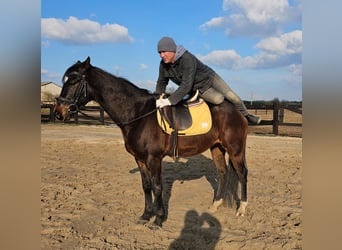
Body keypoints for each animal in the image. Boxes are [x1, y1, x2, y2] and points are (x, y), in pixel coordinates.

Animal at [54, 56, 250, 227]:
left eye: (73, 82)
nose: (58, 112)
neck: (138, 113)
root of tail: (238, 111)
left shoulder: (154, 159)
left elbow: (157, 187)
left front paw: (159, 219)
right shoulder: (140, 159)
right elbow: (146, 186)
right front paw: (146, 215)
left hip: (235, 149)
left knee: (242, 174)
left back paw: (242, 209)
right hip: (216, 147)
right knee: (223, 173)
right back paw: (215, 206)